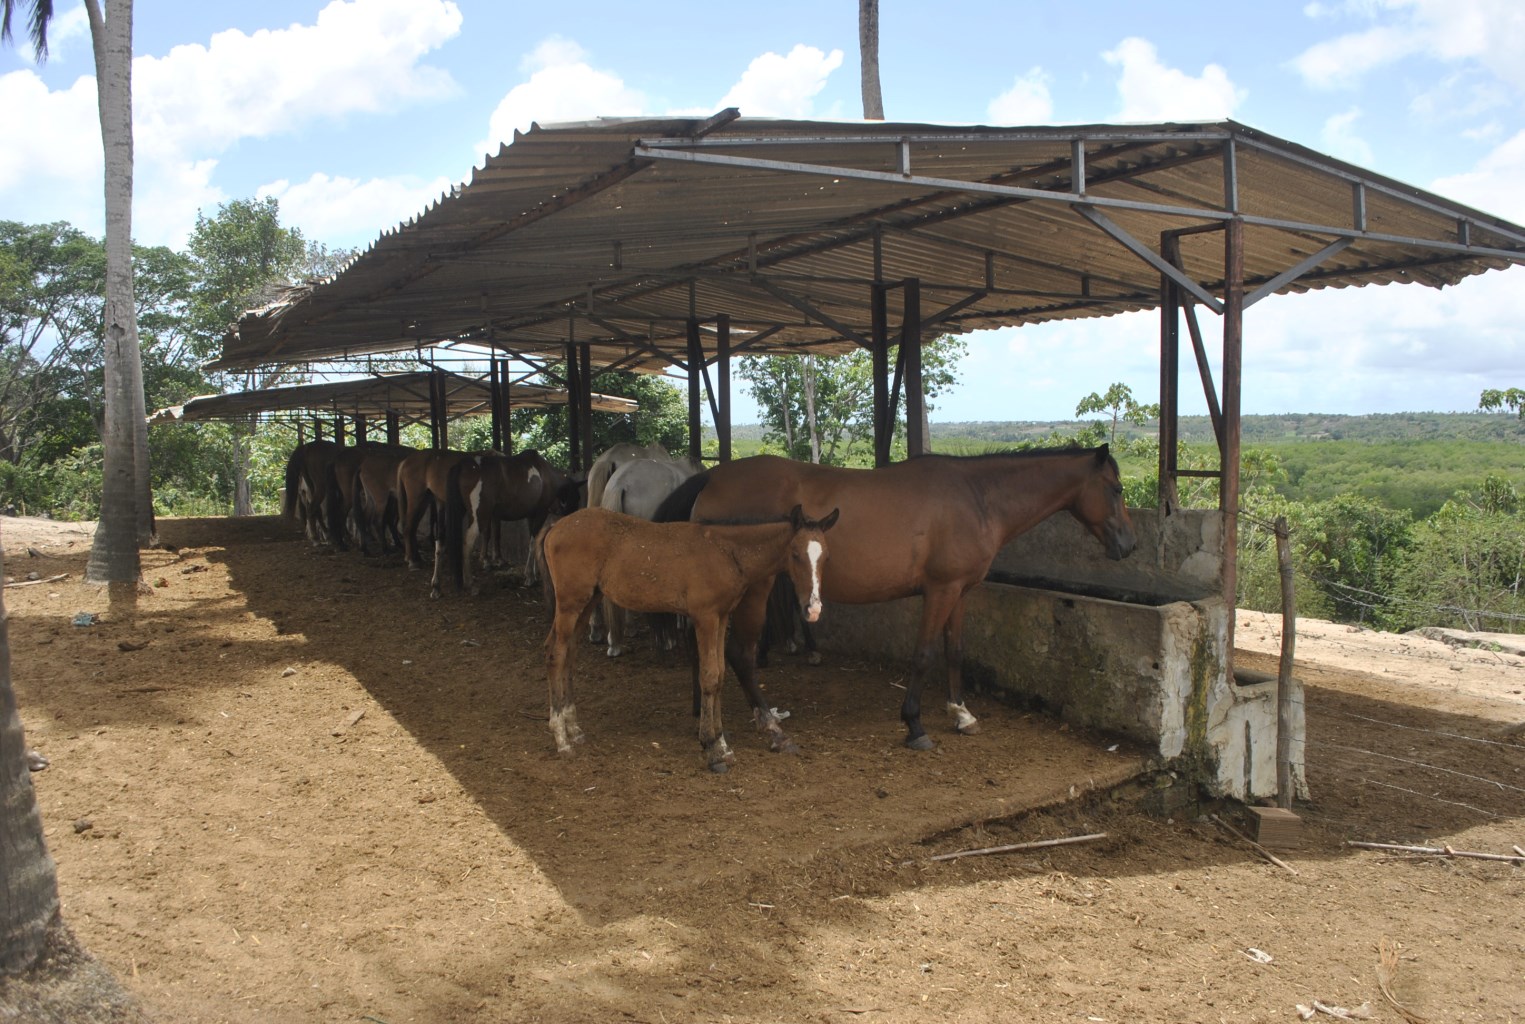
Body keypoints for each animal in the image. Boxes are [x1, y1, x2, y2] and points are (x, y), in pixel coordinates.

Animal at [542, 503, 841, 778]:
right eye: (795, 554)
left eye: (826, 557)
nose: (813, 609)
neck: (727, 552)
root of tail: (556, 527)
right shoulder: (704, 617)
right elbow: (709, 676)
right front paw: (712, 750)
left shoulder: (720, 616)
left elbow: (720, 674)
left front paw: (722, 744)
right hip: (570, 602)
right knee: (556, 654)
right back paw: (561, 738)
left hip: (589, 600)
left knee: (569, 654)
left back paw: (574, 729)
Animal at [661, 448, 1140, 753]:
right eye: (1116, 489)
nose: (1129, 546)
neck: (976, 498)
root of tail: (713, 476)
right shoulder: (940, 590)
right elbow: (925, 654)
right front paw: (915, 724)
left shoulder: (960, 591)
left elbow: (955, 650)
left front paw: (961, 713)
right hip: (754, 591)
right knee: (741, 655)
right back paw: (770, 726)